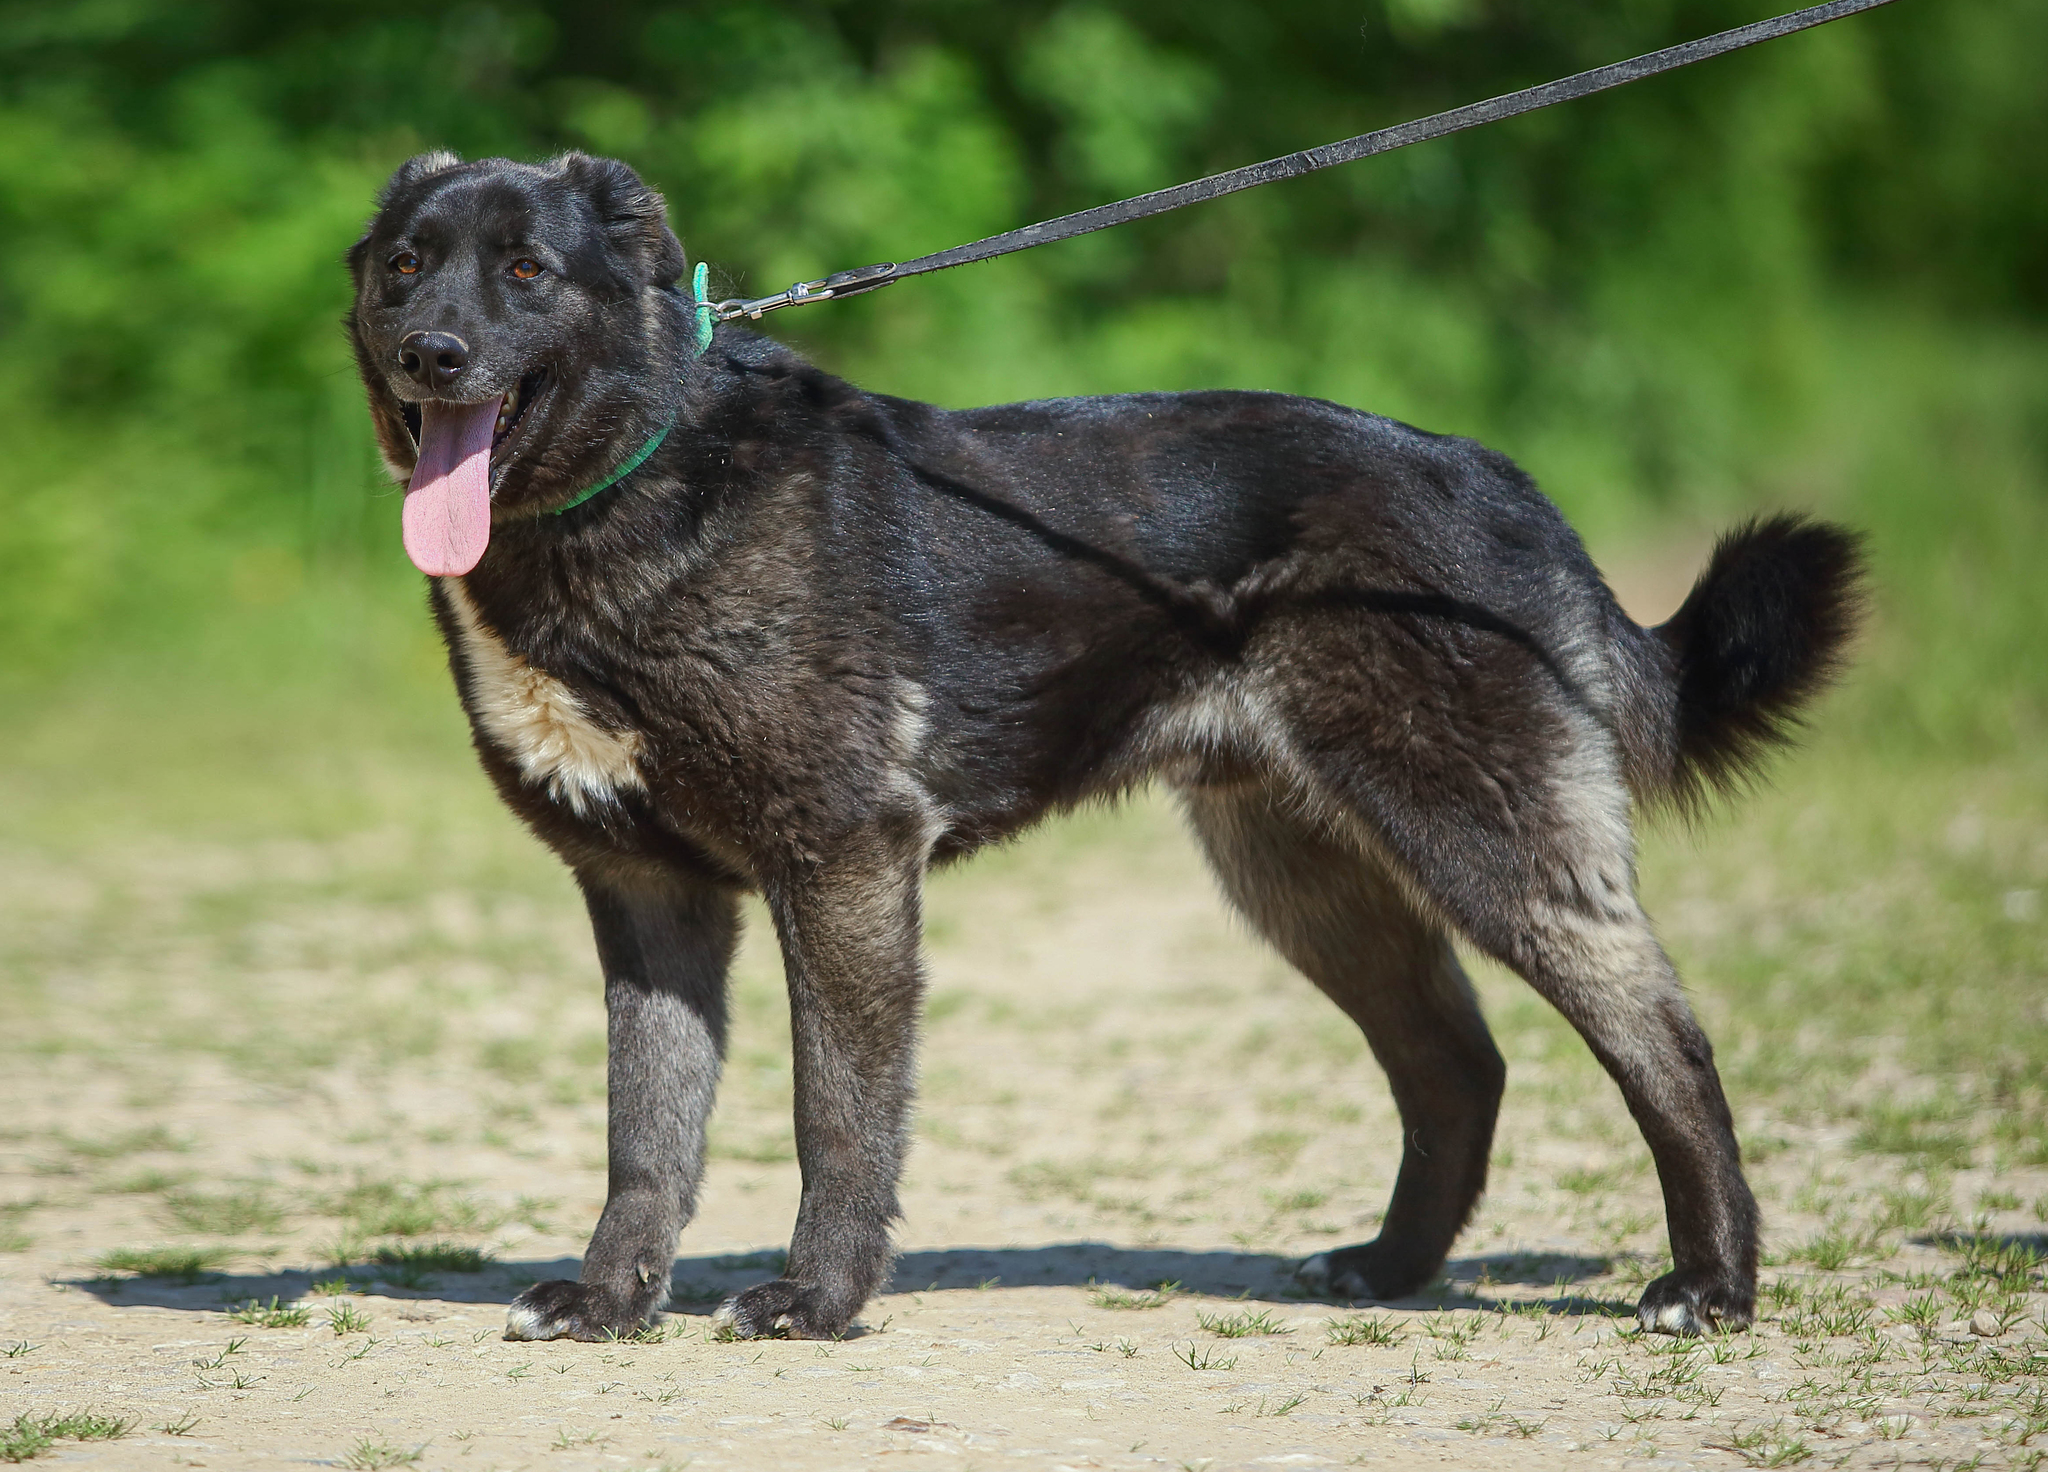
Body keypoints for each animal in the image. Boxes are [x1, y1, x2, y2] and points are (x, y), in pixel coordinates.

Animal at [348, 152, 1859, 1351]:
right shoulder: (649, 901)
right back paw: (1388, 1267)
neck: (639, 482)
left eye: (528, 271)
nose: (431, 354)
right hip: (1300, 874)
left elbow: (835, 1111)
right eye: (406, 267)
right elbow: (644, 1134)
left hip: (1483, 840)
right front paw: (612, 1299)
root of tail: (1506, 485)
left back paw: (1710, 1285)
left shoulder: (841, 862)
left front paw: (818, 1299)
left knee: (1665, 1042)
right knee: (1454, 1063)